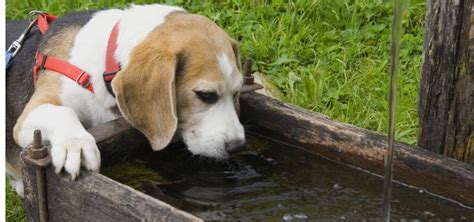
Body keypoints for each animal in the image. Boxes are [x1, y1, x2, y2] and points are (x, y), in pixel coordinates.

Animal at [6, 3, 244, 194]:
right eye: (206, 95)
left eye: (236, 92)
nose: (237, 146)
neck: (102, 66)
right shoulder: (30, 115)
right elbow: (64, 112)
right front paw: (76, 143)